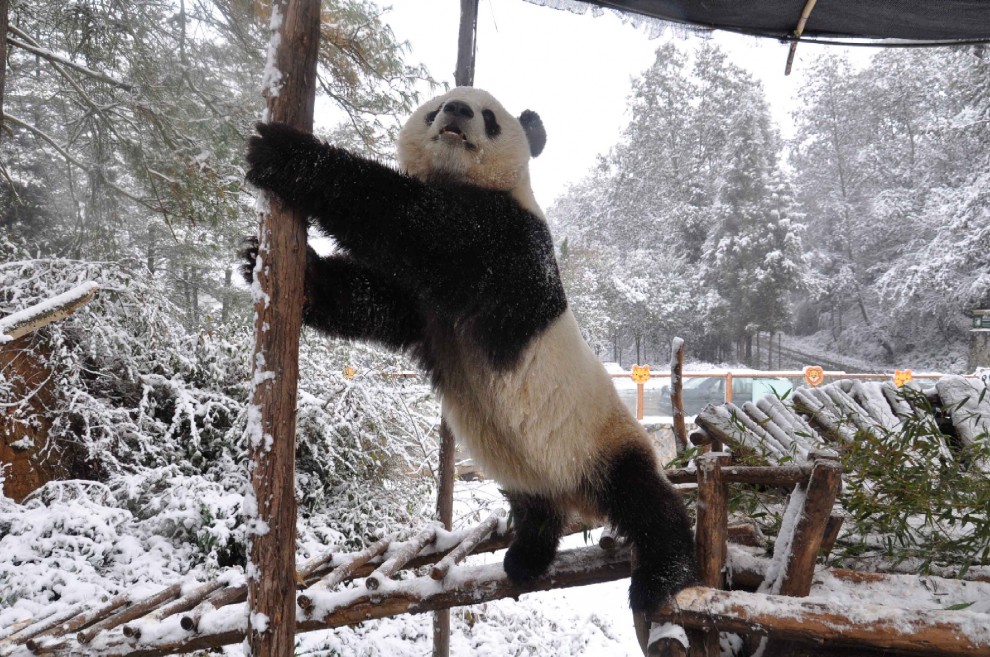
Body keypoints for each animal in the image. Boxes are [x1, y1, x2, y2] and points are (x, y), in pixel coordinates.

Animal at [242, 87, 697, 613]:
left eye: (489, 116)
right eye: (434, 108)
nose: (456, 111)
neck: (465, 180)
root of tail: (577, 495)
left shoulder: (512, 245)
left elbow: (423, 227)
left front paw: (281, 152)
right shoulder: (424, 311)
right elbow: (376, 301)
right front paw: (270, 266)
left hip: (603, 439)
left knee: (645, 500)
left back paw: (661, 576)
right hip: (530, 471)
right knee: (535, 507)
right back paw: (526, 557)